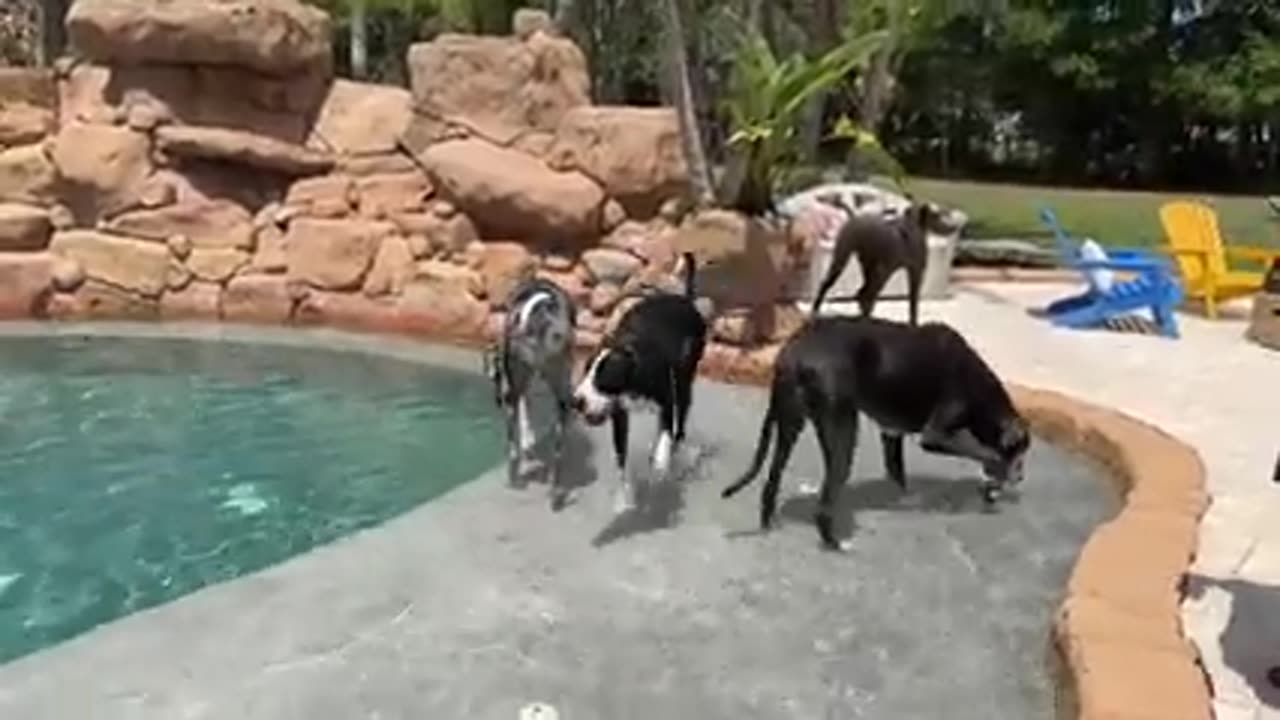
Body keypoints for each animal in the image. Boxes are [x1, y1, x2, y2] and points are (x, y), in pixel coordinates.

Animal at [573, 251, 711, 509]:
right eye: (586, 371)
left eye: (604, 378)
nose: (576, 401)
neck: (631, 358)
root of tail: (685, 300)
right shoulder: (620, 417)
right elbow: (622, 459)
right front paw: (625, 497)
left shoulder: (666, 401)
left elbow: (666, 435)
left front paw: (661, 464)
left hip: (684, 381)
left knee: (679, 421)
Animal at [721, 313, 1029, 548]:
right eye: (1022, 452)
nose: (1021, 477)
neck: (981, 388)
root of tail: (794, 352)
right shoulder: (936, 435)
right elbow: (986, 453)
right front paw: (993, 482)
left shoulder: (891, 434)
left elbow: (897, 472)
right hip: (843, 432)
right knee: (824, 503)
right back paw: (835, 544)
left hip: (789, 426)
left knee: (772, 481)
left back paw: (768, 523)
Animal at [814, 193, 957, 322]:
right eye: (938, 214)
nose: (955, 227)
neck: (911, 228)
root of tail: (854, 217)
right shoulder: (914, 272)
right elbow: (913, 302)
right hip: (846, 259)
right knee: (847, 289)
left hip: (868, 265)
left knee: (862, 292)